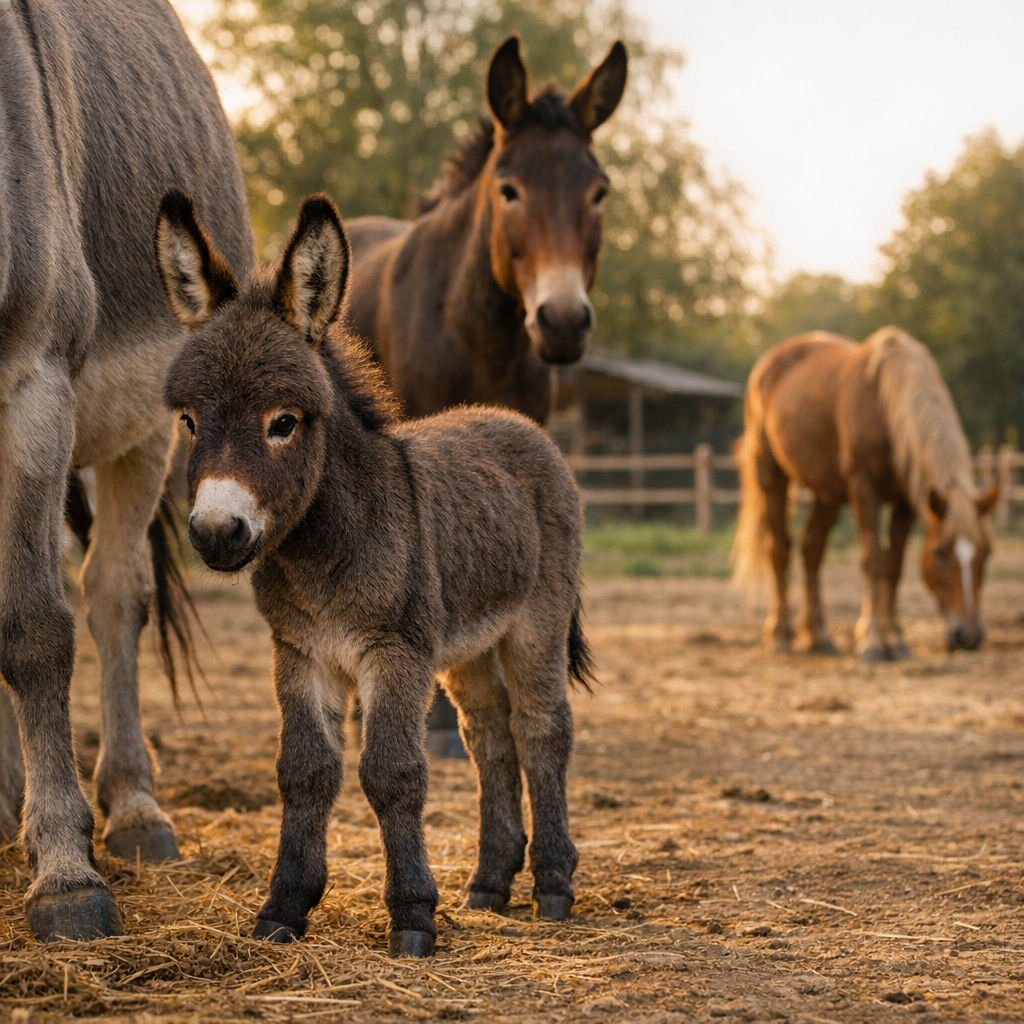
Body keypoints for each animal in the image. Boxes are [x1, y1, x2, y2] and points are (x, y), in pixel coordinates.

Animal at [0, 0, 253, 940]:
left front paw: (66, 874)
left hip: (142, 433)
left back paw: (131, 809)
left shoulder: (34, 389)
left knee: (113, 597)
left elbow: (35, 628)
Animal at [157, 191, 592, 958]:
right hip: (469, 644)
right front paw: (284, 909)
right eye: (188, 421)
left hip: (534, 624)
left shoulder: (394, 652)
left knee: (542, 729)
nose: (215, 532)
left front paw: (413, 917)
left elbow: (392, 773)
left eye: (283, 422)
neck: (326, 548)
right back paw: (489, 883)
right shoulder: (301, 652)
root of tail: (516, 424)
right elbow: (304, 772)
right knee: (489, 737)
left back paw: (552, 885)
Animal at [733, 328, 998, 661]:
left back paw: (819, 636)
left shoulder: (905, 502)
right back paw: (780, 635)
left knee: (812, 550)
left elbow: (893, 565)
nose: (970, 636)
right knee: (778, 548)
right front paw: (871, 640)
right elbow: (873, 559)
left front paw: (895, 638)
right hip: (772, 476)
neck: (888, 407)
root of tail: (767, 364)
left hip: (828, 494)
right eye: (939, 553)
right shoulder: (864, 489)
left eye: (987, 553)